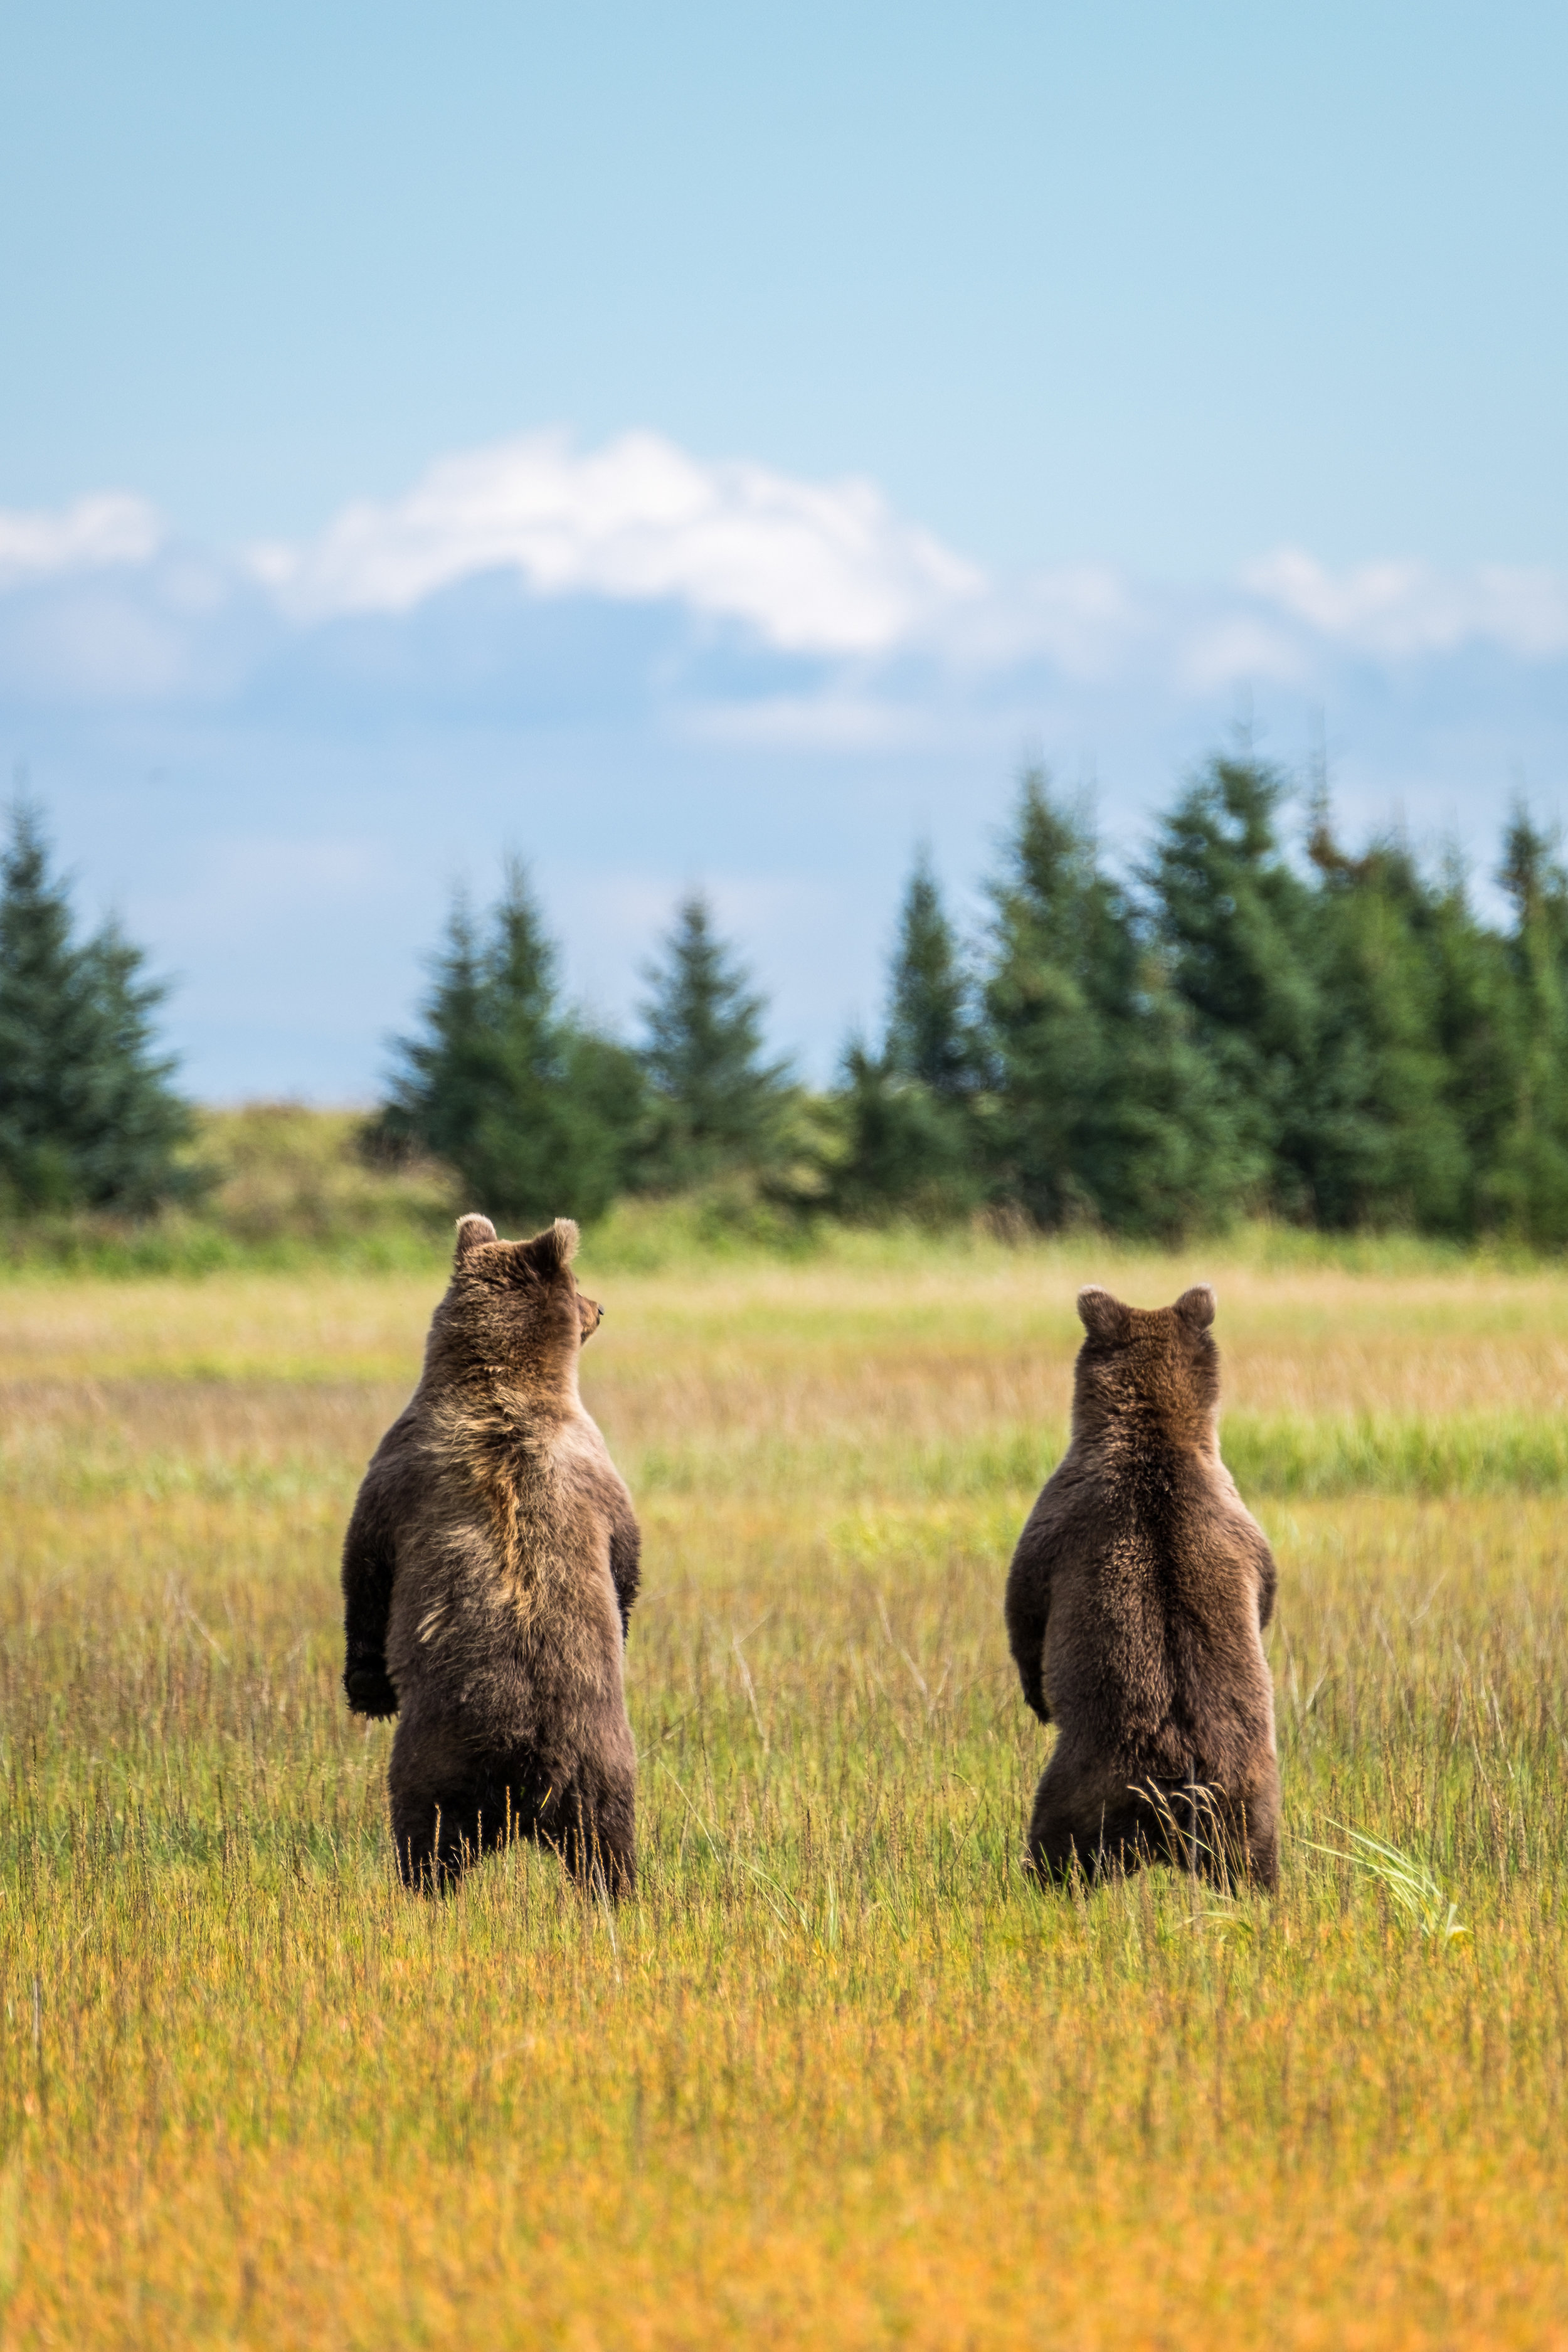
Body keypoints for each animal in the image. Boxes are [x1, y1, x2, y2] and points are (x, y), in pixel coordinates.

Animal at [341, 1214, 639, 1891]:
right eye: (579, 1287)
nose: (601, 1307)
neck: (503, 1382)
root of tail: (532, 1769)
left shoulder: (400, 1475)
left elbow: (364, 1571)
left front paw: (367, 1688)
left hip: (447, 1758)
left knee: (426, 1840)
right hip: (591, 1766)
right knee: (605, 1844)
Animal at [1010, 1289, 1278, 1891]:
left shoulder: (1061, 1517)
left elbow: (1024, 1607)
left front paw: (1035, 1694)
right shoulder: (1236, 1519)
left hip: (1087, 1782)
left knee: (1056, 1842)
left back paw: (1032, 1881)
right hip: (1246, 1798)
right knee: (1253, 1860)